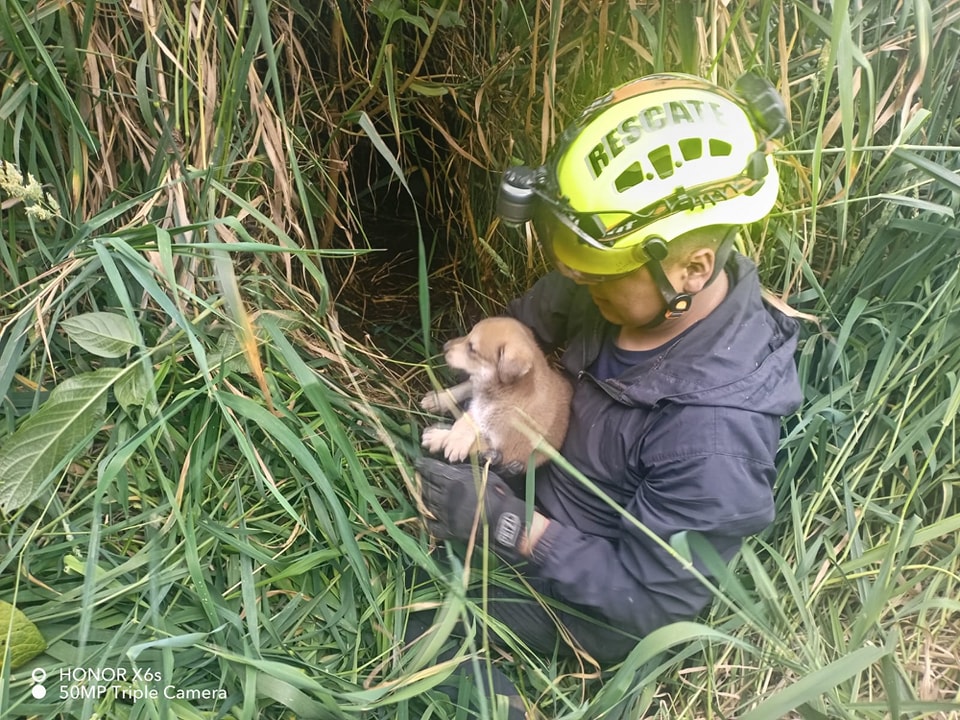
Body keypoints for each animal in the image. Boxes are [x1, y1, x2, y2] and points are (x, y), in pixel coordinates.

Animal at [420, 318, 568, 476]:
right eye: (468, 333)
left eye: (472, 348)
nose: (444, 346)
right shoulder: (479, 388)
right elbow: (464, 393)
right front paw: (437, 400)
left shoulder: (503, 445)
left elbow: (475, 438)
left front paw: (441, 438)